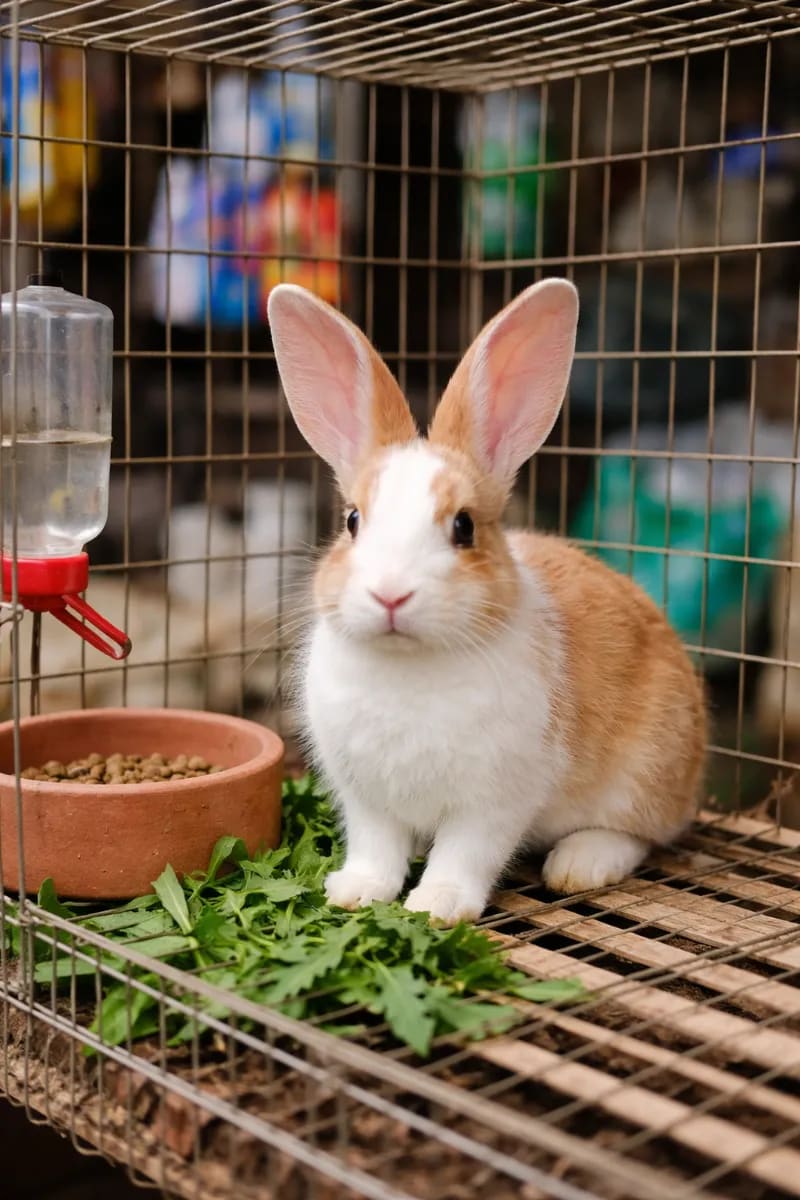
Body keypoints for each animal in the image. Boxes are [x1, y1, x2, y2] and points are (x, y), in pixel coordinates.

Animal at [267, 279, 707, 925]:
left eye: (464, 527)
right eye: (352, 521)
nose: (390, 593)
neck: (409, 667)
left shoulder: (495, 801)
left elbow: (465, 853)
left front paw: (438, 906)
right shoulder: (367, 798)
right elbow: (377, 848)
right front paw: (355, 891)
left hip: (646, 772)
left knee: (639, 834)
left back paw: (580, 864)